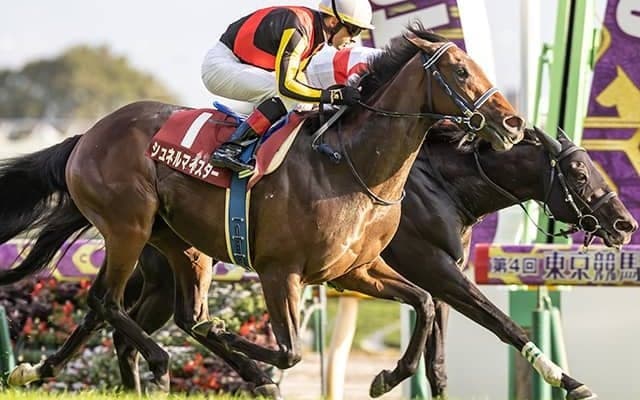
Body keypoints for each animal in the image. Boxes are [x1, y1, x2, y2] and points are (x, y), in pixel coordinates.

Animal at [0, 24, 525, 398]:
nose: (513, 122)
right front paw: (251, 357)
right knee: (105, 301)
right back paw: (164, 363)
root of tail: (88, 135)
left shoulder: (354, 270)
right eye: (460, 71)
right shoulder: (280, 271)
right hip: (128, 226)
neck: (351, 166)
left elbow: (425, 303)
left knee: (179, 314)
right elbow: (291, 352)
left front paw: (388, 376)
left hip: (181, 244)